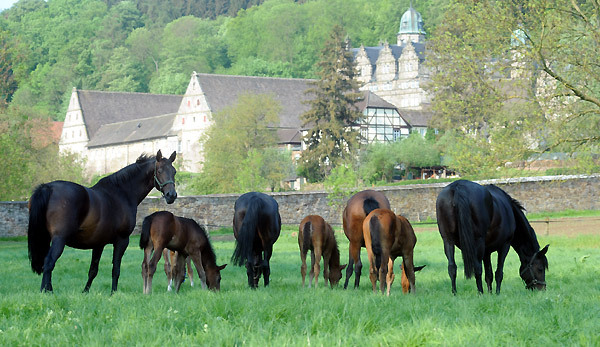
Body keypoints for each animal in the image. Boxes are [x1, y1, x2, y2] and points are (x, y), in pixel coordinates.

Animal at [28, 150, 177, 294]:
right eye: (159, 171)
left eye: (174, 171)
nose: (172, 195)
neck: (121, 193)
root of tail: (48, 187)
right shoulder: (122, 240)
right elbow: (116, 269)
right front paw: (113, 292)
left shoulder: (98, 244)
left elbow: (93, 270)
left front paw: (85, 292)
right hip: (60, 239)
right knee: (49, 262)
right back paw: (47, 291)